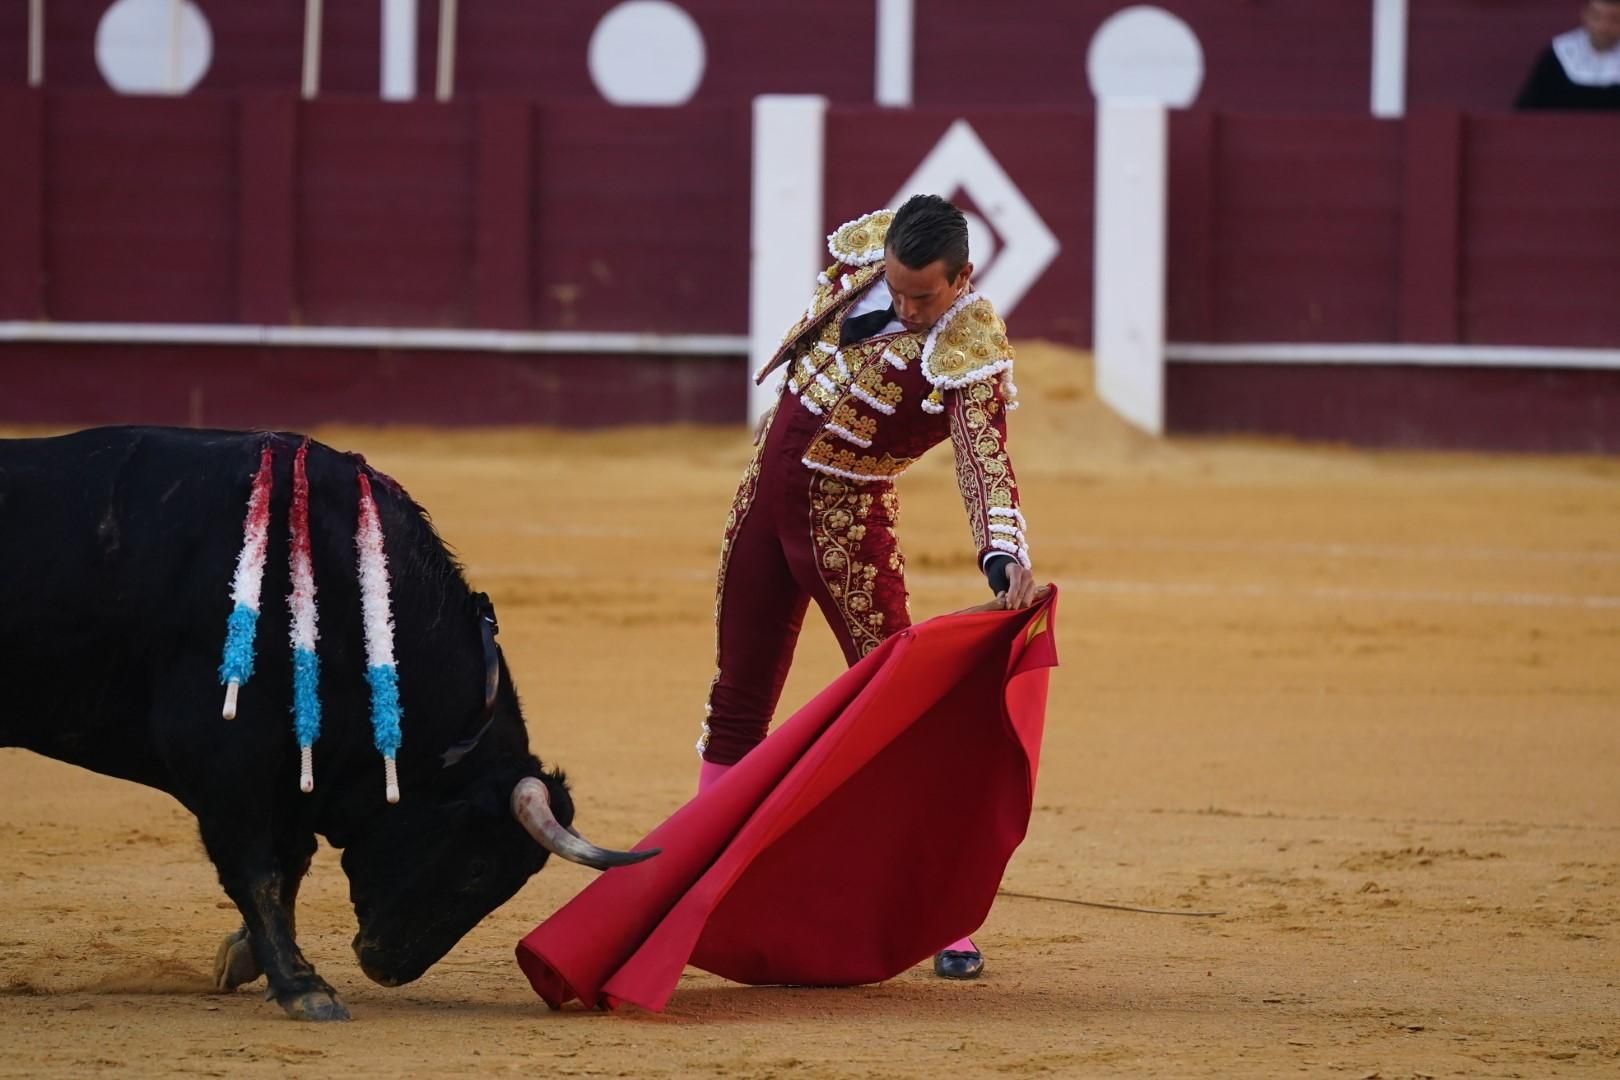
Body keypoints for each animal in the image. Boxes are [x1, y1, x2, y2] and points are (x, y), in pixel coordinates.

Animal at [0, 427, 651, 1023]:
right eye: (476, 870)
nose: (388, 967)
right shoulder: (223, 759)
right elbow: (255, 867)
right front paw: (302, 988)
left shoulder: (293, 774)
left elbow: (290, 864)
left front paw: (249, 959)